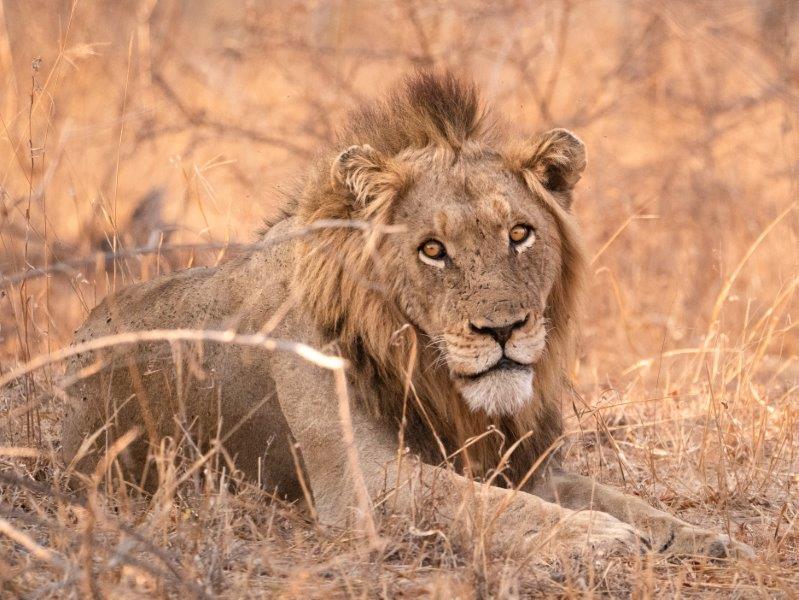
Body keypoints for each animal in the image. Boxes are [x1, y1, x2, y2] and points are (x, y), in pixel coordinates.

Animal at [61, 72, 752, 560]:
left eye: (520, 234)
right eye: (432, 249)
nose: (503, 330)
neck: (429, 372)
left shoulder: (527, 464)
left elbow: (622, 499)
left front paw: (700, 536)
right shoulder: (363, 481)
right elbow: (485, 505)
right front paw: (596, 537)